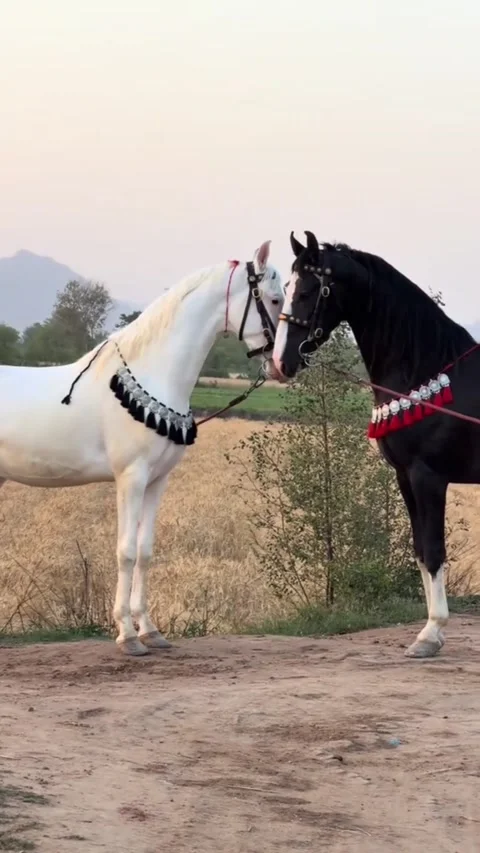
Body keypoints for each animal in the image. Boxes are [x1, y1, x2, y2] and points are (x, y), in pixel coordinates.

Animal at [0, 240, 284, 655]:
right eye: (275, 299)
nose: (282, 365)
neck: (152, 373)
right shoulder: (130, 478)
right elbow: (126, 552)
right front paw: (127, 635)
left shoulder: (156, 480)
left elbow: (146, 551)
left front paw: (150, 630)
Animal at [273, 229, 480, 659]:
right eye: (286, 287)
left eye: (309, 290)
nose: (281, 362)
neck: (427, 367)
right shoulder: (405, 477)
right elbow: (420, 551)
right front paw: (431, 631)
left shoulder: (428, 477)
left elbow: (434, 550)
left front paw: (430, 635)